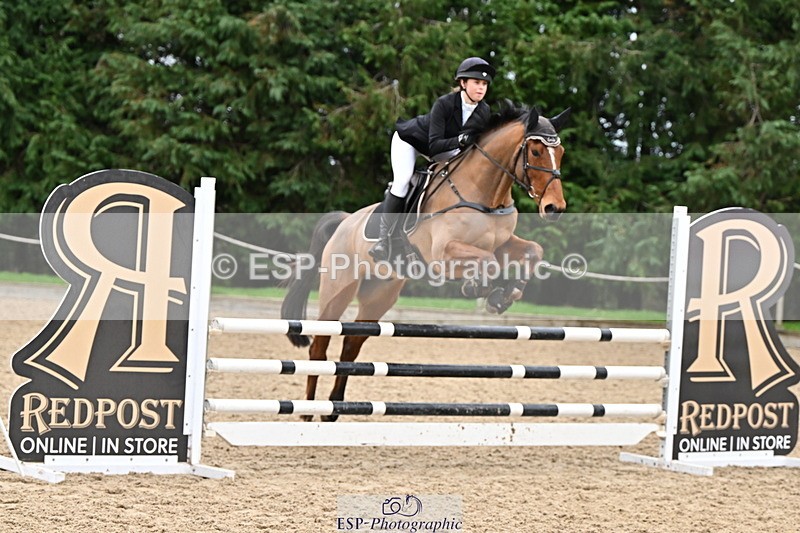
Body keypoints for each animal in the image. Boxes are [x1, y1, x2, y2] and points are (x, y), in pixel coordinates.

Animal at [280, 105, 570, 420]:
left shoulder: (502, 243)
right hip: (338, 290)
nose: (554, 208)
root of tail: (345, 222)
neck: (484, 194)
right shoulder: (443, 255)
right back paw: (309, 411)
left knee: (350, 346)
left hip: (379, 295)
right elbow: (488, 260)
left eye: (561, 152)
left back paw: (333, 408)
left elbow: (532, 251)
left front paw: (506, 294)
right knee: (320, 346)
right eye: (536, 151)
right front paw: (482, 289)